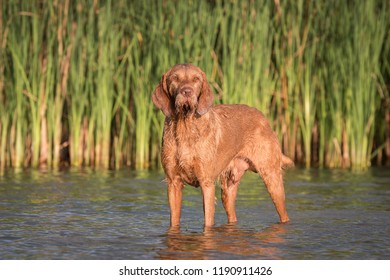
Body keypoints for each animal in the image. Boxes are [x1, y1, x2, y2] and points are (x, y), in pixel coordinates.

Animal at [152, 63, 292, 228]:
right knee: (232, 214)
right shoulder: (173, 183)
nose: (187, 92)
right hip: (228, 188)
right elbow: (174, 221)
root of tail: (263, 118)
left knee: (284, 213)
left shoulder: (206, 183)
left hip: (272, 178)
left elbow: (208, 221)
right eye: (175, 78)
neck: (185, 127)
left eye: (196, 79)